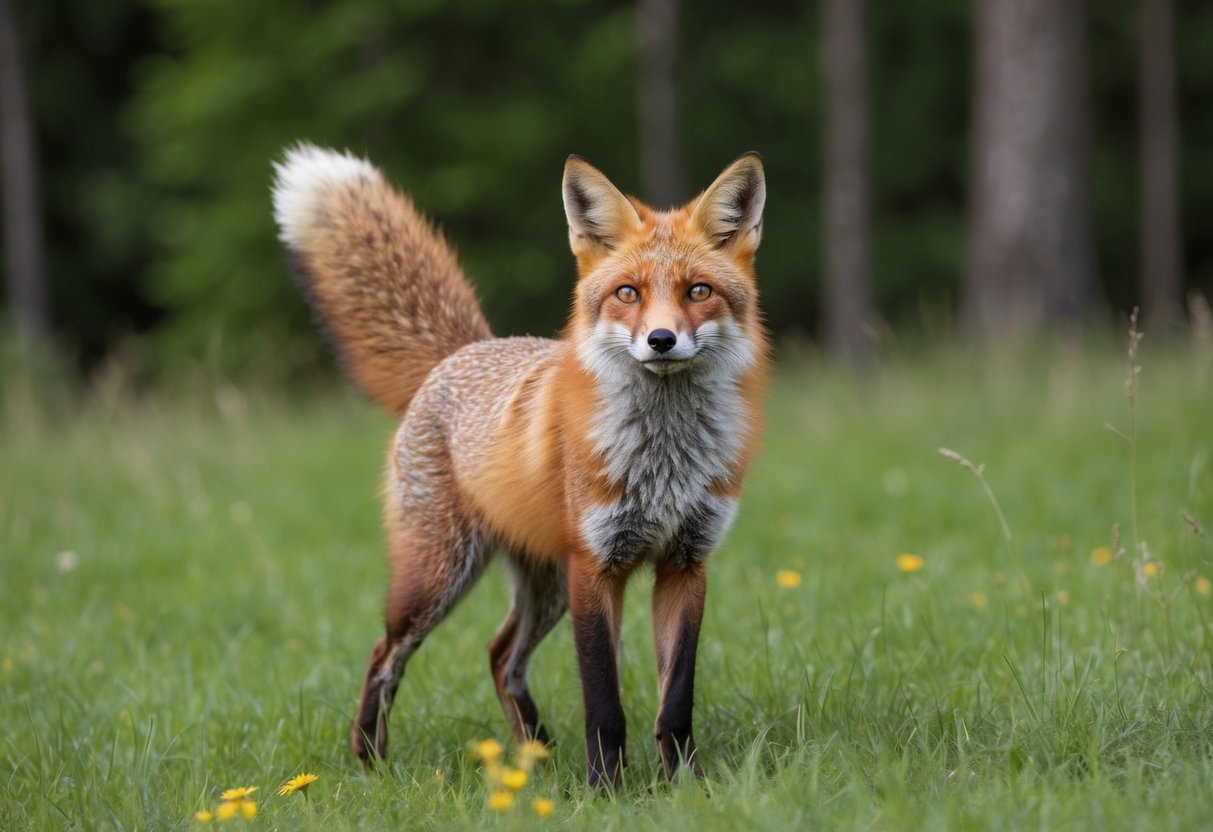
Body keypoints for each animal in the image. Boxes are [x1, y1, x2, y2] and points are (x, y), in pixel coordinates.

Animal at [271, 143, 769, 787]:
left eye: (699, 291)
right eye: (628, 293)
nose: (661, 340)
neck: (664, 459)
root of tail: (467, 349)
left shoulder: (686, 563)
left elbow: (675, 700)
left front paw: (688, 785)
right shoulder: (595, 567)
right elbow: (604, 701)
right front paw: (604, 789)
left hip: (545, 585)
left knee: (500, 654)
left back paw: (535, 755)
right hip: (439, 576)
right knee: (384, 655)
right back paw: (372, 760)